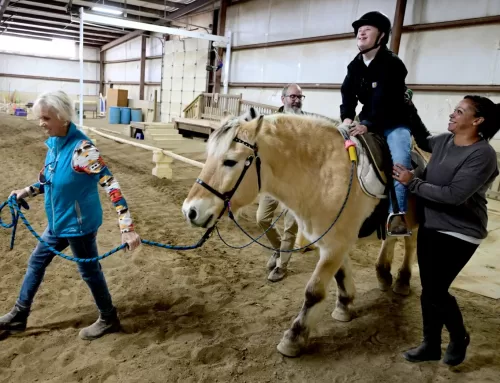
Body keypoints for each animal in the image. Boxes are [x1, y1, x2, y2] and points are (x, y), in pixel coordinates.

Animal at [182, 109, 420, 358]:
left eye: (230, 162)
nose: (190, 211)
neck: (324, 175)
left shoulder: (335, 245)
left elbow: (314, 291)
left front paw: (294, 338)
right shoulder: (332, 242)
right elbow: (341, 276)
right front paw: (344, 306)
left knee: (410, 244)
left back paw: (402, 280)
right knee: (390, 241)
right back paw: (383, 274)